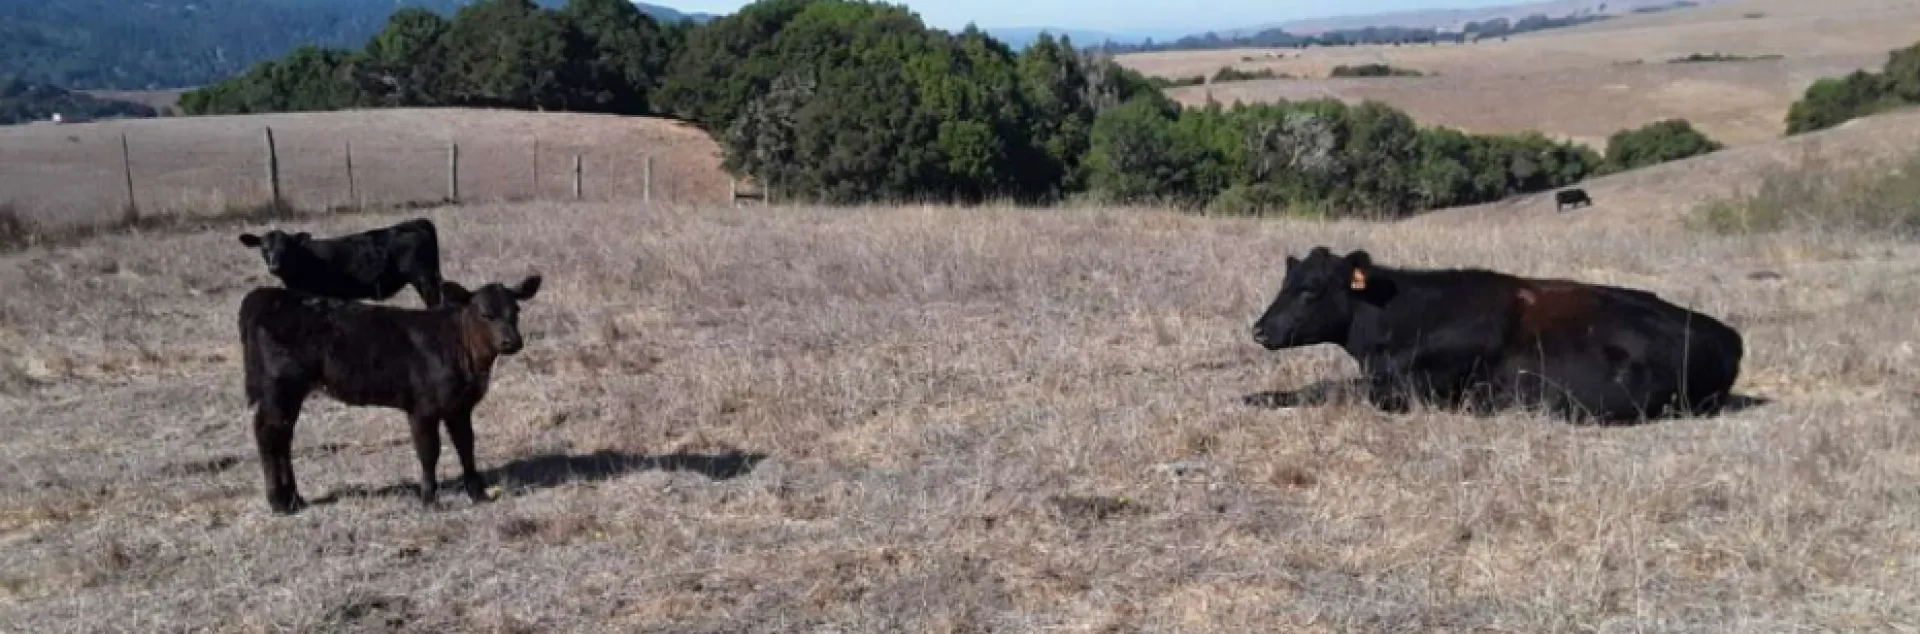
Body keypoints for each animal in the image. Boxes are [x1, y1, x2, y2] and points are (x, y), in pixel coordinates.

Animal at [238, 273, 543, 514]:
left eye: (516, 311)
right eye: (485, 314)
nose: (511, 342)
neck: (458, 346)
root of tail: (265, 295)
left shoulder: (459, 407)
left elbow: (466, 447)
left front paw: (478, 494)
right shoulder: (422, 408)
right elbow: (429, 453)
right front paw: (429, 500)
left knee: (282, 436)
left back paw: (294, 498)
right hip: (279, 387)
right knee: (268, 434)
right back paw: (279, 502)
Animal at [1247, 247, 1744, 424]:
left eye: (1310, 289)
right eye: (1286, 282)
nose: (1259, 329)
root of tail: (1726, 335)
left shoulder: (1406, 389)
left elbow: (1327, 387)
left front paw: (1261, 396)